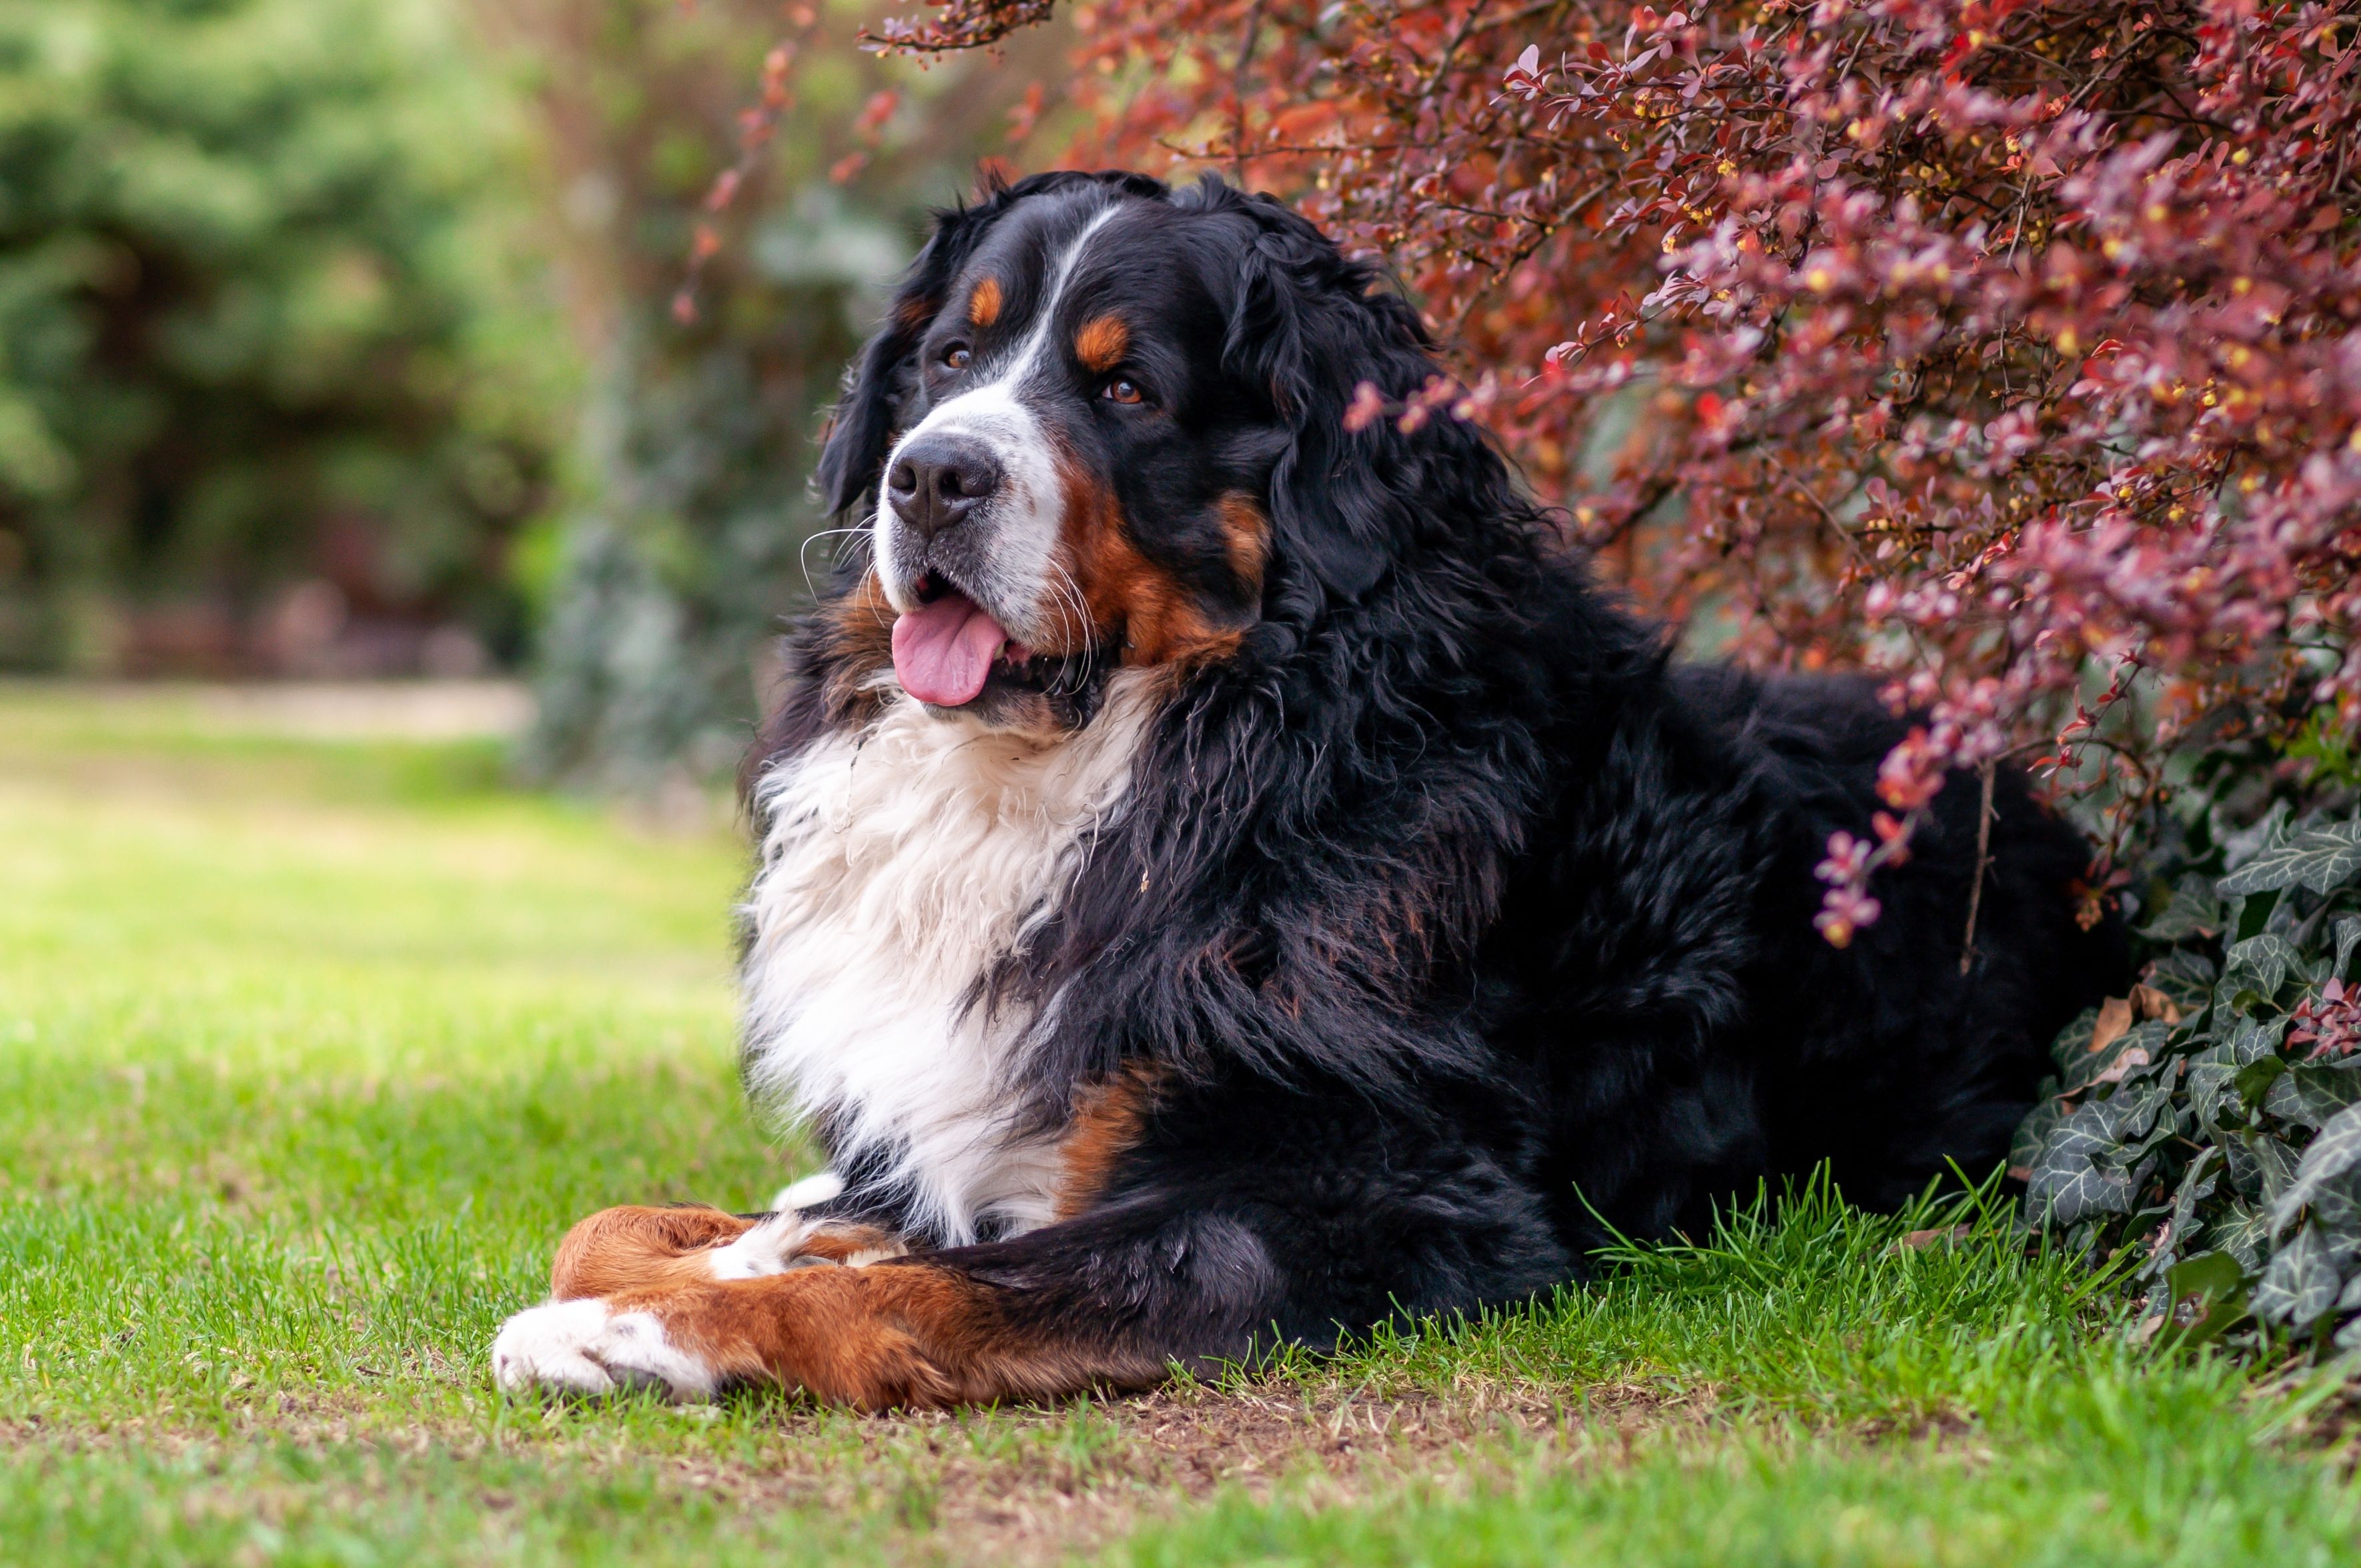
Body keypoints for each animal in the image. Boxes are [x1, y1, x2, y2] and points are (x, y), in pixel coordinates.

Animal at [488, 169, 2134, 1407]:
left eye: (1127, 386)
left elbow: (941, 1282)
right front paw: (699, 1264)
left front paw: (641, 1333)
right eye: (949, 359)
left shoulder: (1364, 1200)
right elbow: (624, 1218)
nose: (931, 476)